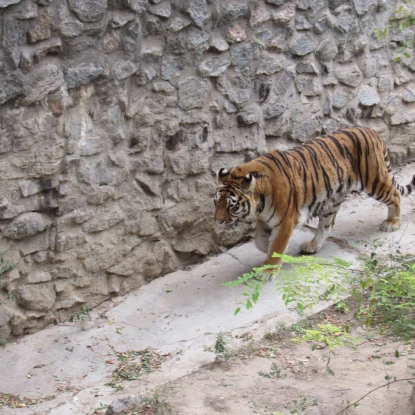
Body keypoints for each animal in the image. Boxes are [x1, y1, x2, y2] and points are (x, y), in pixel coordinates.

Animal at [214, 127, 415, 270]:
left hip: (373, 180)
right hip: (333, 198)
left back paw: (393, 223)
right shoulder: (266, 218)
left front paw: (269, 268)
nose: (218, 221)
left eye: (232, 206)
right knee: (326, 225)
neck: (260, 202)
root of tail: (371, 130)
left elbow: (277, 244)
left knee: (395, 195)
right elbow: (260, 240)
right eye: (217, 203)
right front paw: (268, 252)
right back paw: (312, 245)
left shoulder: (286, 220)